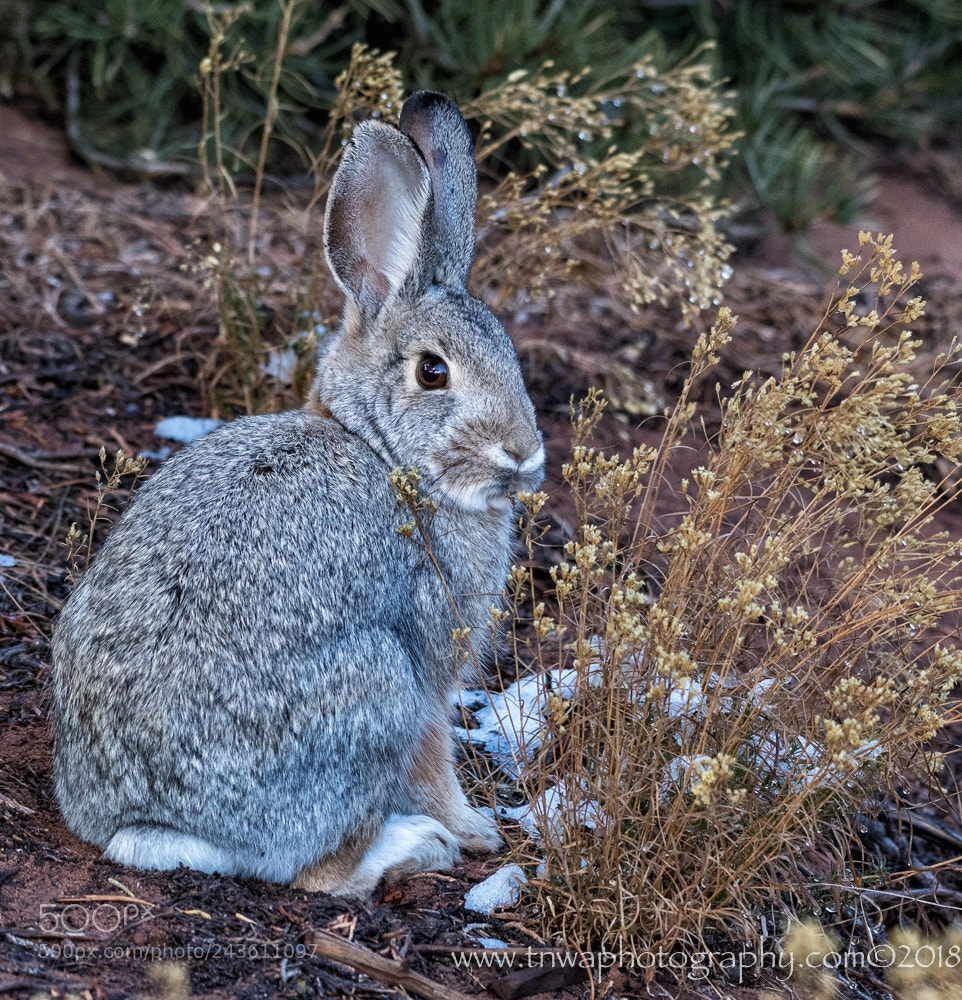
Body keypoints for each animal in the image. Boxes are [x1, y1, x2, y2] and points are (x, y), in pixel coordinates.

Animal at [50, 91, 545, 896]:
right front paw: (477, 830)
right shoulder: (430, 669)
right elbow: (434, 761)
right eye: (433, 372)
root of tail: (152, 824)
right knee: (322, 872)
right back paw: (417, 847)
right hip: (376, 690)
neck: (380, 449)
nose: (526, 453)